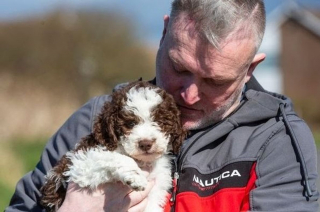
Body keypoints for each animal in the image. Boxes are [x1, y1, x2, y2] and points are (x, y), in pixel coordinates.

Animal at [40, 80, 186, 212]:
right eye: (130, 124)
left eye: (160, 122)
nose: (146, 144)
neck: (143, 161)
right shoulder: (80, 162)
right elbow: (115, 157)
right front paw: (135, 176)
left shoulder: (155, 191)